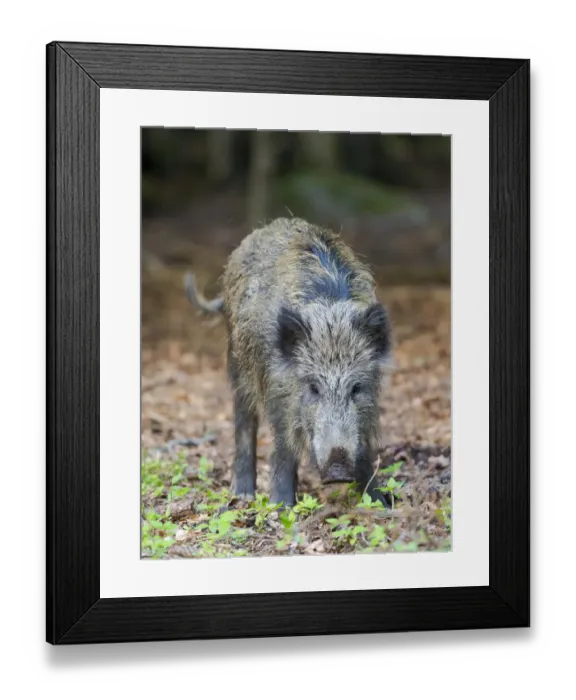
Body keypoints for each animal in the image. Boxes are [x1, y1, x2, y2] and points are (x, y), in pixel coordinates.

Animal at [185, 217, 393, 507]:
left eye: (356, 388)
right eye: (313, 388)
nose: (337, 471)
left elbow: (363, 450)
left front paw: (381, 503)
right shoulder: (278, 391)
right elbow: (284, 444)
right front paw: (281, 505)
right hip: (238, 364)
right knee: (244, 422)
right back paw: (243, 495)